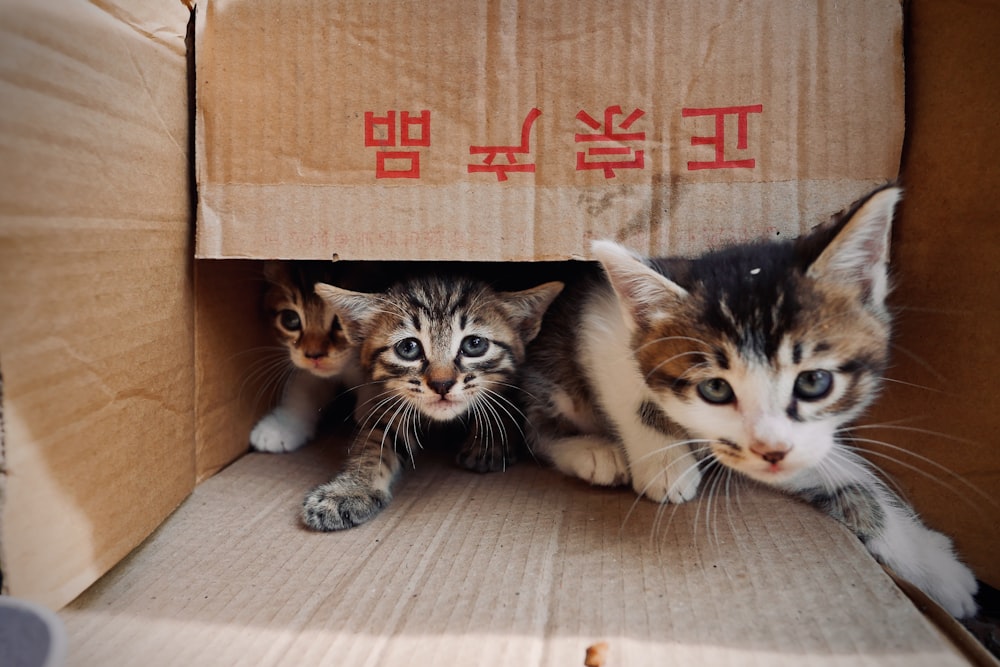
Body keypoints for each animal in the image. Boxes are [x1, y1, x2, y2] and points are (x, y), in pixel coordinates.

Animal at [300, 272, 564, 532]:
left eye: (474, 344)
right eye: (408, 347)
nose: (442, 384)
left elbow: (503, 402)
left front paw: (489, 442)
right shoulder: (392, 405)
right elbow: (374, 442)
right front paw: (348, 490)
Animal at [520, 184, 980, 620]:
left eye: (814, 381)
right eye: (716, 389)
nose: (771, 449)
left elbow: (843, 474)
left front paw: (930, 563)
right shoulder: (600, 322)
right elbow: (634, 391)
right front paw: (666, 464)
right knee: (533, 428)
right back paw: (594, 452)